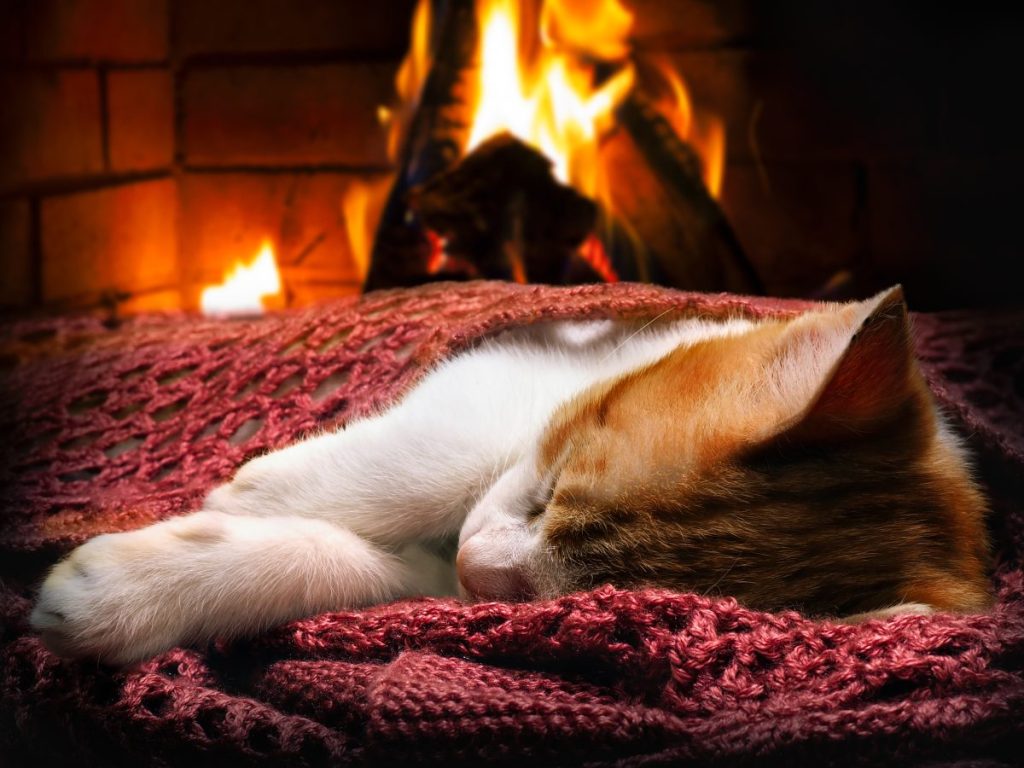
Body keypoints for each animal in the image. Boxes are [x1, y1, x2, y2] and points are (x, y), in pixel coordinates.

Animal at [34, 288, 991, 667]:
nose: (473, 569)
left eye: (581, 606)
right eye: (550, 485)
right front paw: (258, 483)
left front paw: (132, 591)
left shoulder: (437, 579)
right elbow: (446, 449)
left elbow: (353, 569)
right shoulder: (522, 361)